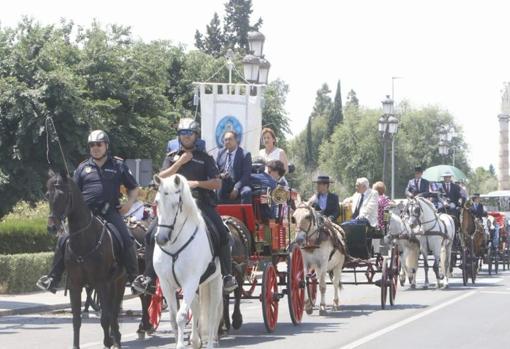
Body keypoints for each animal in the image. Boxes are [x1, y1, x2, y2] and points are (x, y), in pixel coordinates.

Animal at [45, 169, 125, 348]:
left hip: (118, 282)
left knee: (114, 311)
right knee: (111, 311)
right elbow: (76, 320)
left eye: (62, 194)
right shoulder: (75, 285)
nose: (52, 227)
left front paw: (107, 341)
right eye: (47, 195)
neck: (84, 239)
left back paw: (116, 338)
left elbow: (105, 318)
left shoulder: (101, 283)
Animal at [152, 174, 222, 348]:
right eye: (157, 202)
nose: (161, 239)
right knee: (196, 306)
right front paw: (182, 341)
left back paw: (210, 343)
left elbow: (181, 315)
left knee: (213, 312)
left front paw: (180, 344)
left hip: (216, 280)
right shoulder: (166, 283)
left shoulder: (190, 281)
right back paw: (195, 340)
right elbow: (172, 316)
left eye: (176, 203)